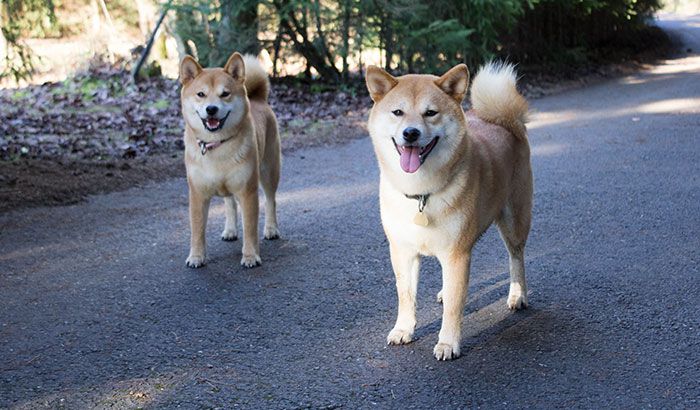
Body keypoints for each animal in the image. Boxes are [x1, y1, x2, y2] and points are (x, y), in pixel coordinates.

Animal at [179, 52, 280, 270]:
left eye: (225, 94)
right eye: (201, 94)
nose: (211, 109)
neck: (217, 145)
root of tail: (258, 99)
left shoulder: (248, 192)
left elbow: (250, 229)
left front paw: (250, 256)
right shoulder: (198, 194)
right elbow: (197, 229)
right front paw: (196, 257)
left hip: (269, 171)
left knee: (270, 200)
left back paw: (271, 228)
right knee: (229, 203)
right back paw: (230, 230)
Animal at [364, 60, 532, 358]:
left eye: (430, 113)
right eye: (398, 112)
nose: (411, 133)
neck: (421, 192)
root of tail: (506, 122)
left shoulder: (457, 253)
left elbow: (455, 306)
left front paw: (448, 342)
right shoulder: (403, 252)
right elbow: (406, 296)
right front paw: (404, 328)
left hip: (514, 222)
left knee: (516, 258)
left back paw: (517, 295)